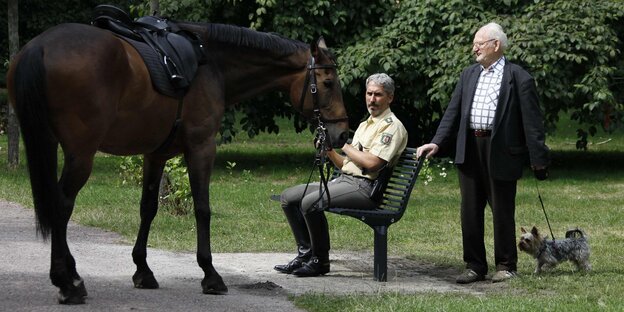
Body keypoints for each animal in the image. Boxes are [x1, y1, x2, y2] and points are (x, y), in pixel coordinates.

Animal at [7, 20, 348, 304]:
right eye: (328, 83)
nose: (342, 133)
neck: (212, 65)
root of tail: (40, 47)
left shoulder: (155, 155)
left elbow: (148, 208)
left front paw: (143, 270)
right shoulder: (201, 148)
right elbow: (202, 208)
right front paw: (210, 275)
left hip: (50, 144)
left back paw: (72, 275)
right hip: (81, 155)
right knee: (61, 205)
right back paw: (67, 283)